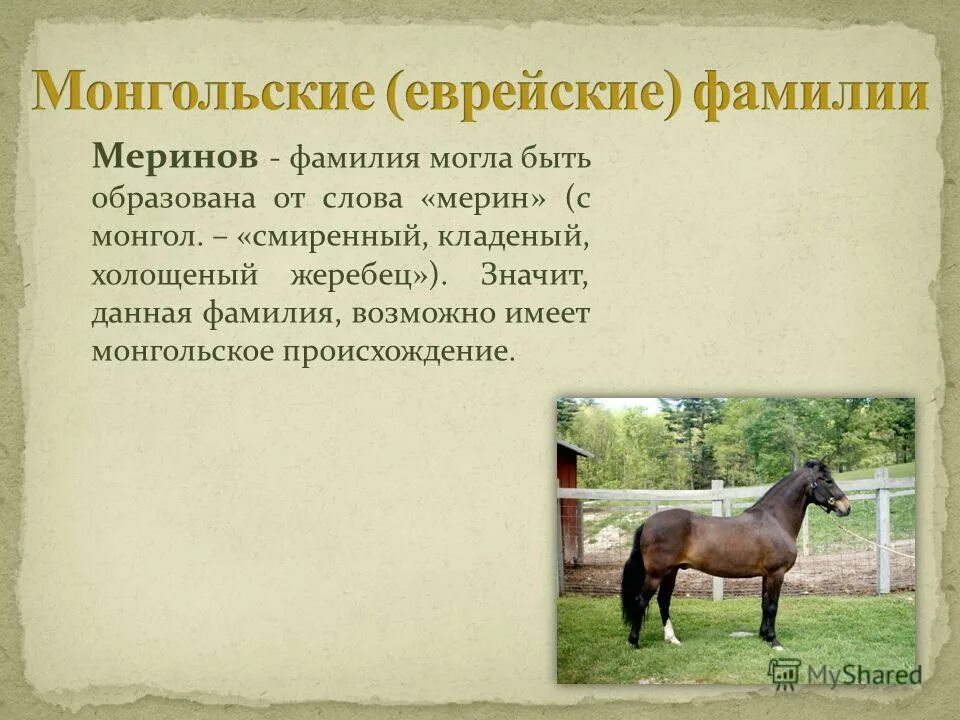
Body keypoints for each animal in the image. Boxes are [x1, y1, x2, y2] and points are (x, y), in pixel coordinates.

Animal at [620, 460, 851, 651]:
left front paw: (763, 635)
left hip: (671, 572)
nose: (846, 507)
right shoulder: (776, 574)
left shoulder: (766, 575)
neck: (775, 520)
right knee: (641, 601)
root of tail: (647, 522)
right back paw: (634, 642)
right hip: (656, 574)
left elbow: (764, 604)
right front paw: (774, 641)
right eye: (827, 480)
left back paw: (672, 639)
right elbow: (773, 606)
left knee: (663, 601)